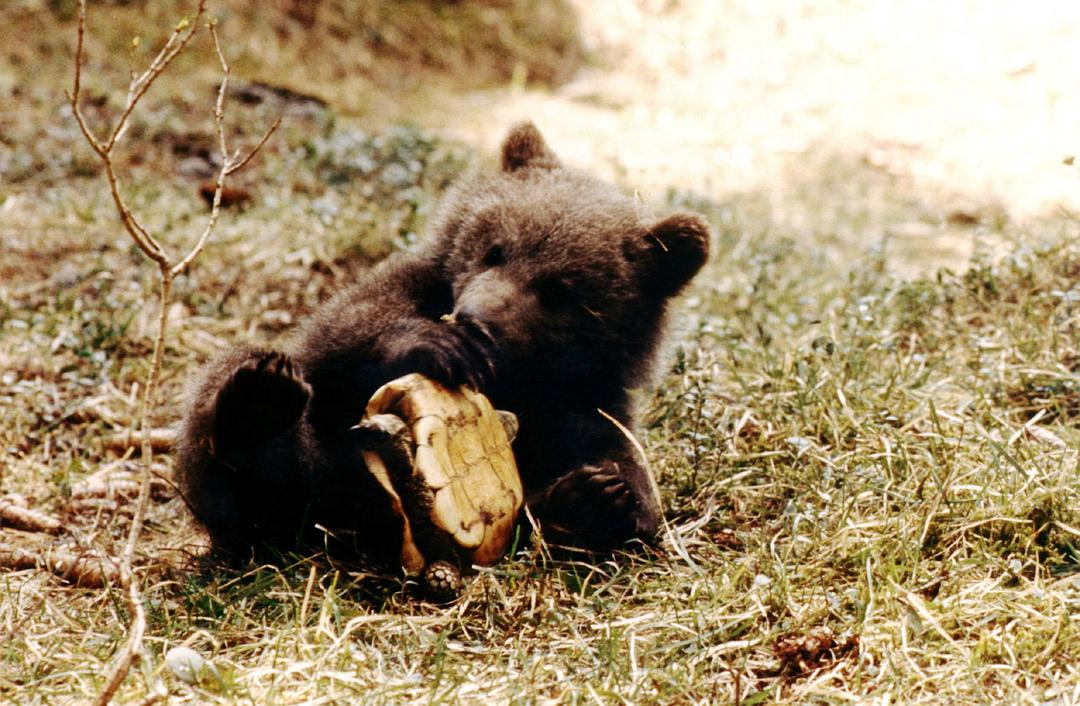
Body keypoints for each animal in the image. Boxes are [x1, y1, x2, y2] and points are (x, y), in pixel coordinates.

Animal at [174, 123, 710, 562]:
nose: (476, 321)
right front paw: (442, 345)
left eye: (560, 290)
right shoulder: (405, 286)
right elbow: (343, 330)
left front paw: (598, 497)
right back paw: (259, 401)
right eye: (495, 249)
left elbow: (621, 471)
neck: (516, 375)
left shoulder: (583, 403)